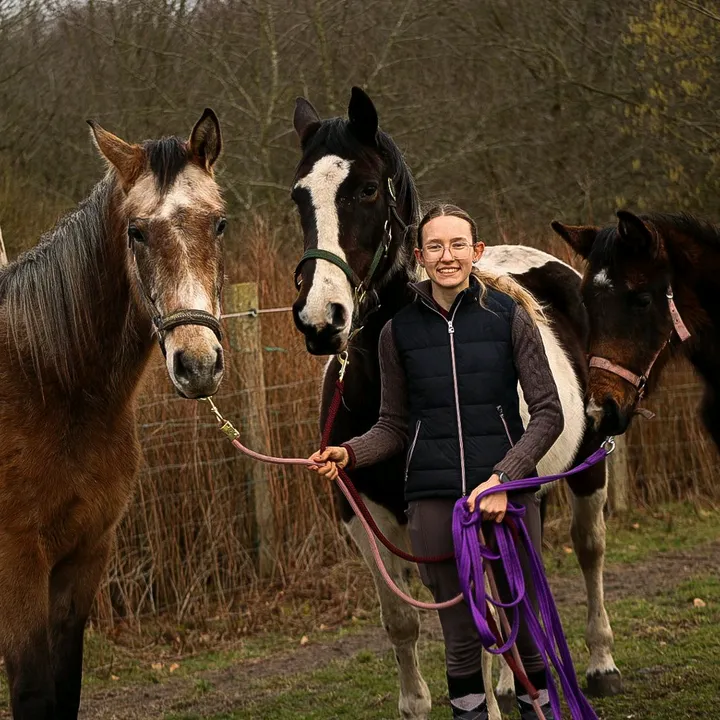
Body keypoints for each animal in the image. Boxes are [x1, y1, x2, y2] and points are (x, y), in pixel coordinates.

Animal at [0, 109, 227, 719]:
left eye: (219, 224)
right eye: (136, 232)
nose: (198, 364)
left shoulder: (86, 555)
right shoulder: (17, 564)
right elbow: (34, 692)